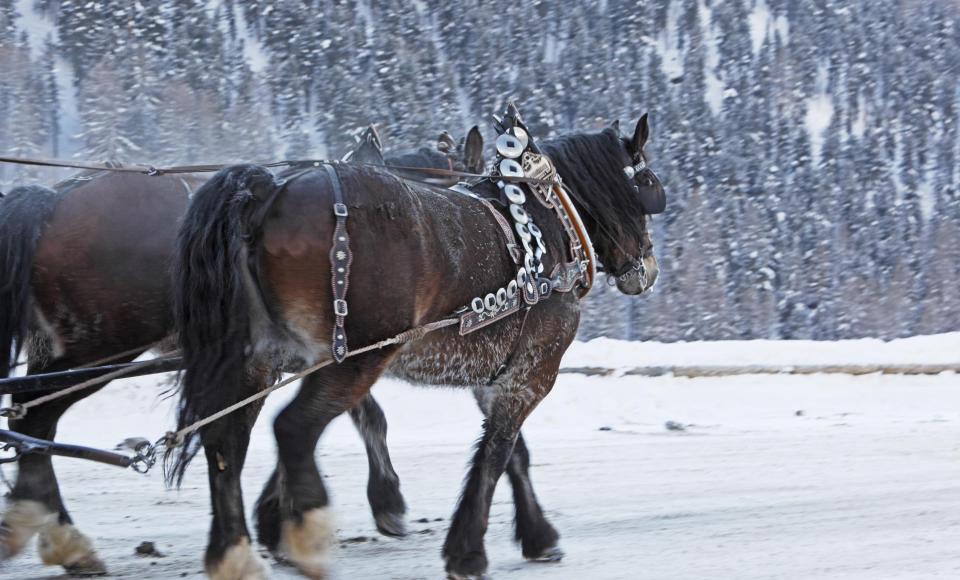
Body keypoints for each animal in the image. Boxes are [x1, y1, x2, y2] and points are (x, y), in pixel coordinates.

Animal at [0, 128, 484, 576]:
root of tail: (54, 199)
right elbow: (363, 417)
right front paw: (380, 502)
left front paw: (276, 518)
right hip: (105, 346)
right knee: (35, 415)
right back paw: (63, 537)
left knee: (30, 420)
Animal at [172, 114, 664, 580]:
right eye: (645, 186)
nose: (648, 268)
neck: (545, 224)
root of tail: (267, 192)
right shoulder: (533, 372)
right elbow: (498, 451)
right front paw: (468, 551)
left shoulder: (496, 374)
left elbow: (514, 455)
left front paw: (537, 534)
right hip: (355, 356)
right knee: (293, 429)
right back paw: (310, 535)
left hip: (257, 360)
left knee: (225, 443)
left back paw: (235, 554)